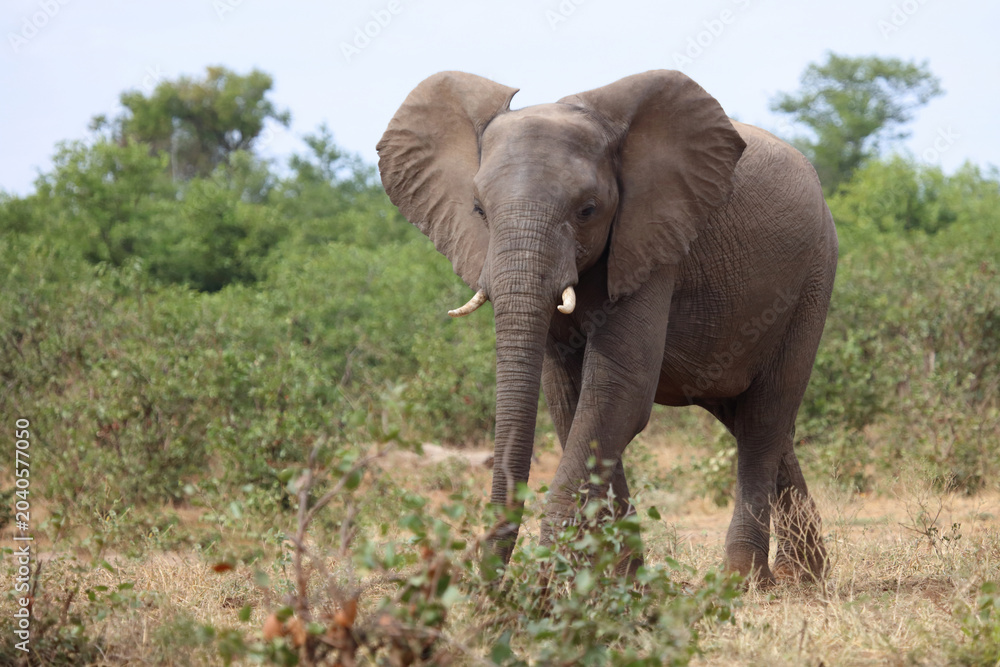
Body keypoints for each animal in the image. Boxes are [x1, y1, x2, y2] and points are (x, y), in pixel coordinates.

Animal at [376, 70, 837, 585]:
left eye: (588, 210)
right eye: (478, 210)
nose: (486, 584)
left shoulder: (654, 241)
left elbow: (617, 392)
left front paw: (554, 581)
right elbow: (572, 402)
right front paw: (621, 581)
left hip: (813, 279)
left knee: (764, 417)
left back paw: (748, 580)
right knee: (749, 418)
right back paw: (806, 576)